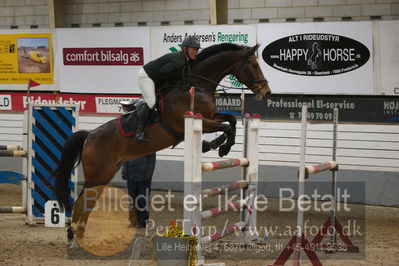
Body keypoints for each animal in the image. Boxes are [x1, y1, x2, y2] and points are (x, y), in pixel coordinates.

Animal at [54, 42, 272, 240]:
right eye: (254, 64)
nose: (266, 91)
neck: (197, 85)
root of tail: (89, 135)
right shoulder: (197, 120)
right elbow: (226, 126)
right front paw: (221, 148)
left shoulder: (210, 116)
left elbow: (231, 121)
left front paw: (215, 145)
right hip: (98, 173)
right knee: (82, 201)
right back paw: (74, 236)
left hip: (106, 173)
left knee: (87, 202)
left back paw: (78, 236)